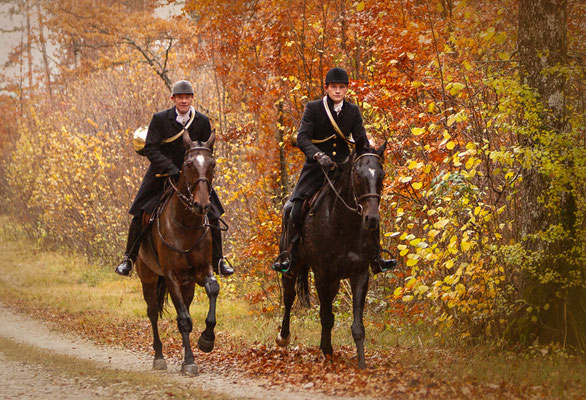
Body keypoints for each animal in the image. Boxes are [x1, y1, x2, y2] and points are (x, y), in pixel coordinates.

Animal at [135, 129, 219, 376]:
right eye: (189, 164)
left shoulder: (203, 270)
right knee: (153, 311)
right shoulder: (171, 276)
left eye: (212, 164)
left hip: (187, 282)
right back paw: (159, 357)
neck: (187, 224)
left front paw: (206, 340)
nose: (202, 205)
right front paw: (190, 361)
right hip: (149, 277)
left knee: (187, 304)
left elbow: (213, 290)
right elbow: (183, 319)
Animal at [276, 143, 386, 368]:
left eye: (382, 175)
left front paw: (362, 365)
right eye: (358, 174)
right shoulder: (322, 275)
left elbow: (356, 326)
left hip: (335, 280)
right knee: (289, 296)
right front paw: (326, 352)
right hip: (291, 266)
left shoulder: (360, 274)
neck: (343, 223)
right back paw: (284, 337)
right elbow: (325, 316)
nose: (372, 219)